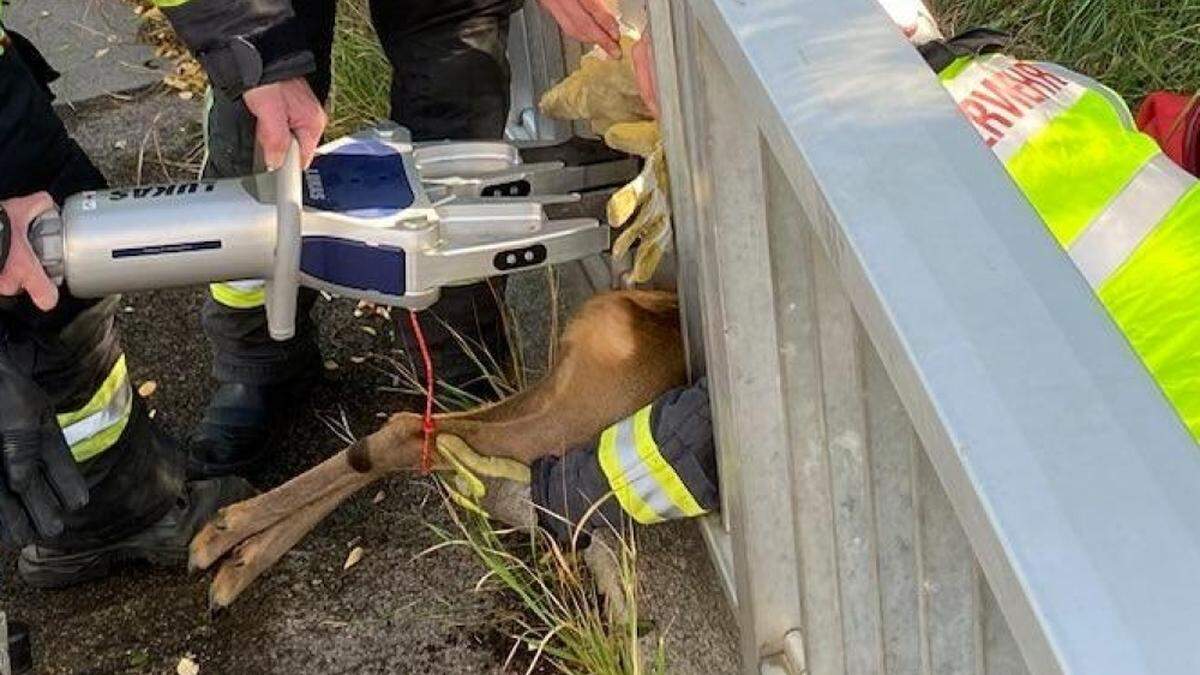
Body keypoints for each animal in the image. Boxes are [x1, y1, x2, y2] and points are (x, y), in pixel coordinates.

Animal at [190, 285, 691, 607]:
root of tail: (645, 304)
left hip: (563, 391)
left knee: (407, 428)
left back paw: (232, 542)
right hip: (590, 411)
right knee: (412, 437)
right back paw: (232, 539)